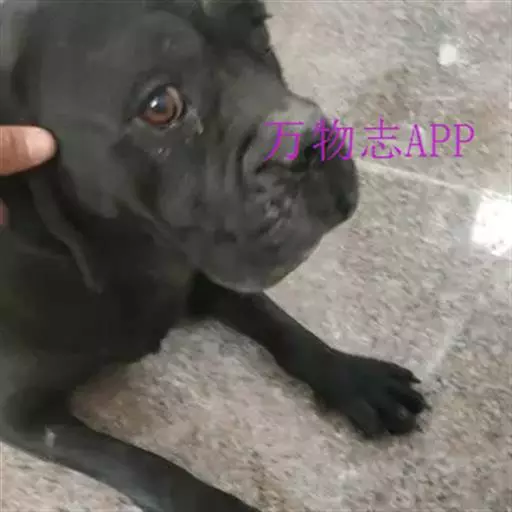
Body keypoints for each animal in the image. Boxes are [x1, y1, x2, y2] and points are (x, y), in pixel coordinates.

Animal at [0, 1, 428, 510]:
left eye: (259, 24)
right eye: (160, 107)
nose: (309, 136)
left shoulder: (200, 269)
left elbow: (276, 321)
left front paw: (350, 375)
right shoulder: (20, 413)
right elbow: (142, 466)